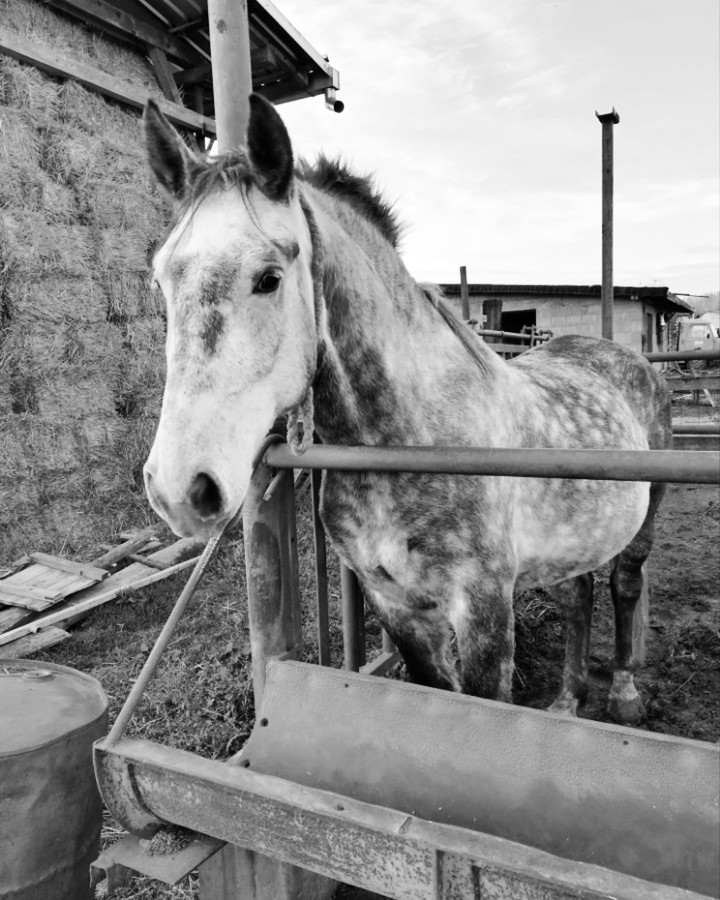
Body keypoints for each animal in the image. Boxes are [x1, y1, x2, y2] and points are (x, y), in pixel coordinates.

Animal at [140, 94, 672, 725]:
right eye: (160, 281)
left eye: (268, 278)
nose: (179, 490)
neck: (410, 442)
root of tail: (626, 357)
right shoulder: (396, 605)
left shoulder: (483, 609)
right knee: (579, 592)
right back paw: (567, 699)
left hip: (646, 517)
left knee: (624, 585)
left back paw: (624, 693)